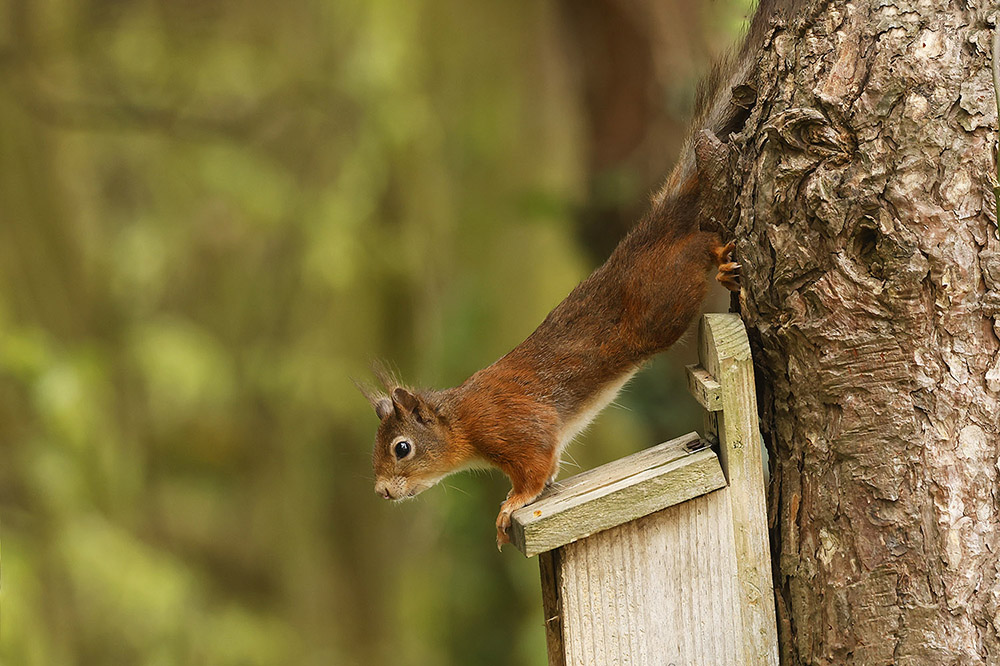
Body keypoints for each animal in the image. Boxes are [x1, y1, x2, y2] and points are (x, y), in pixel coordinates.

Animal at [358, 0, 788, 544]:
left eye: (402, 448)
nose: (382, 492)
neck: (462, 421)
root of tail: (651, 232)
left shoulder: (518, 427)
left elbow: (537, 469)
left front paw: (510, 505)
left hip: (666, 296)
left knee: (699, 247)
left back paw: (722, 259)